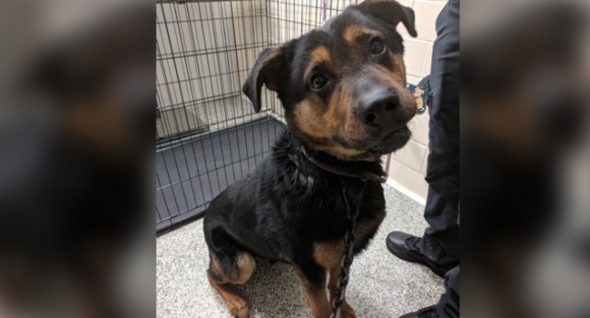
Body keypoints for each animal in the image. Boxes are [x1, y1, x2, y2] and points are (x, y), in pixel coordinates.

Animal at [206, 1, 418, 316]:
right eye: (318, 81)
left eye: (377, 45)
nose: (382, 105)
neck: (334, 175)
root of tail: (206, 213)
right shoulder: (309, 268)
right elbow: (321, 304)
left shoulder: (340, 256)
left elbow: (336, 287)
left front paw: (345, 309)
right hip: (240, 263)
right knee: (211, 274)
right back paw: (236, 301)